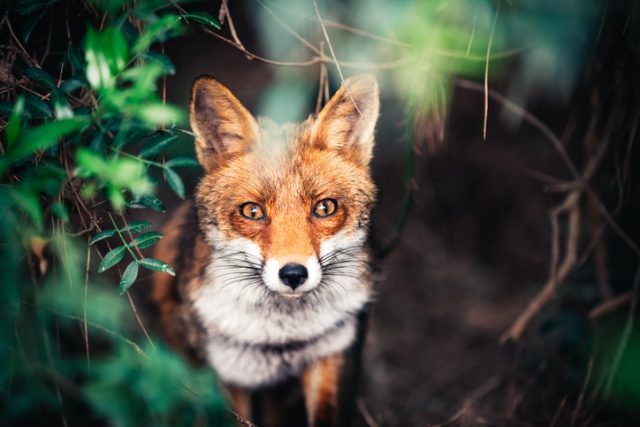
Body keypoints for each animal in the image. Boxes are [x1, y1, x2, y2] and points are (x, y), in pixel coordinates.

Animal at [150, 74, 380, 427]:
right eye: (253, 211)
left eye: (324, 207)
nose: (293, 274)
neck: (281, 338)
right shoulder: (228, 376)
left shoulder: (327, 355)